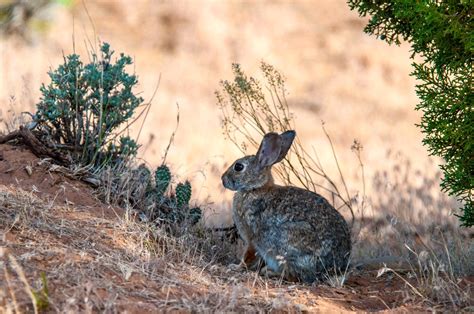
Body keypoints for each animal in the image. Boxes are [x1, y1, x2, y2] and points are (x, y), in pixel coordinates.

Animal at [220, 130, 350, 282]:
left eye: (238, 167)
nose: (223, 179)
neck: (255, 189)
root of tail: (333, 269)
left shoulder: (252, 237)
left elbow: (248, 256)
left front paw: (236, 267)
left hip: (289, 243)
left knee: (295, 275)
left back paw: (270, 272)